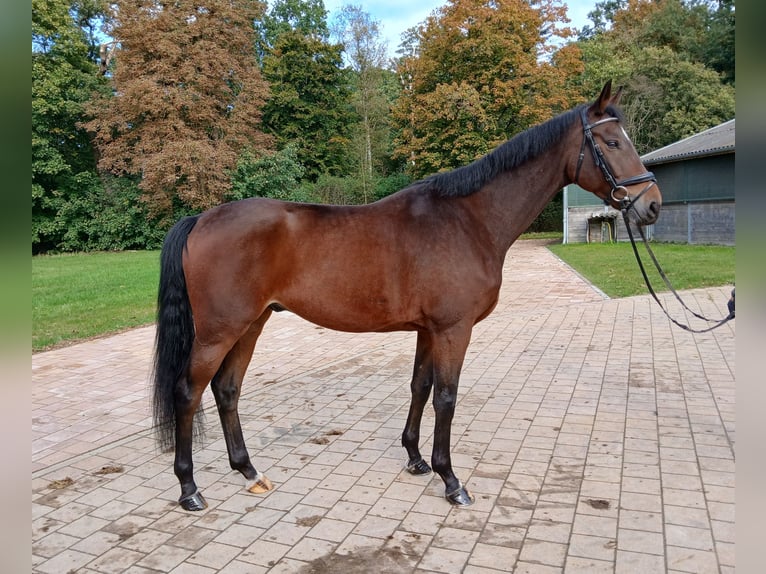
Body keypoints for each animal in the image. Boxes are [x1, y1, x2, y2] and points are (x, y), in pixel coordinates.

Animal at [153, 82, 664, 512]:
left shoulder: (428, 329)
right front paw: (451, 480)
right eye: (613, 143)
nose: (652, 204)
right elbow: (447, 398)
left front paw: (417, 460)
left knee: (227, 390)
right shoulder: (453, 329)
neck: (468, 220)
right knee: (188, 392)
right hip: (219, 331)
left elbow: (420, 387)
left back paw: (249, 471)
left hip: (251, 323)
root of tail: (201, 218)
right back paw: (189, 489)